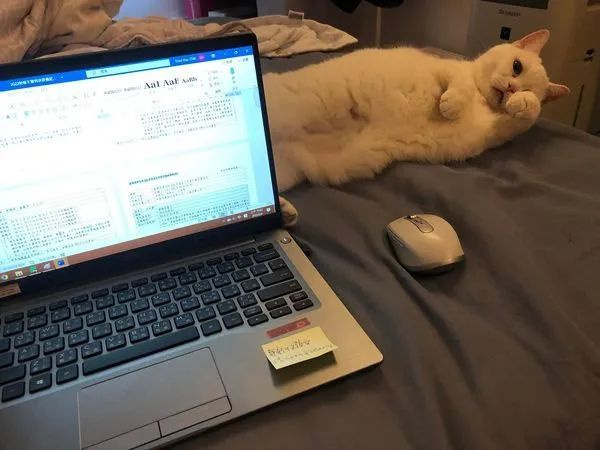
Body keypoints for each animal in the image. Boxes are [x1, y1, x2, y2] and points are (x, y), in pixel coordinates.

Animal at [264, 29, 570, 193]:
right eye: (516, 66)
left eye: (523, 86)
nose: (510, 89)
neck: (481, 98)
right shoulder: (443, 69)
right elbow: (458, 86)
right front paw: (451, 105)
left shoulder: (495, 133)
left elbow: (527, 115)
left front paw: (524, 103)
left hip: (286, 172)